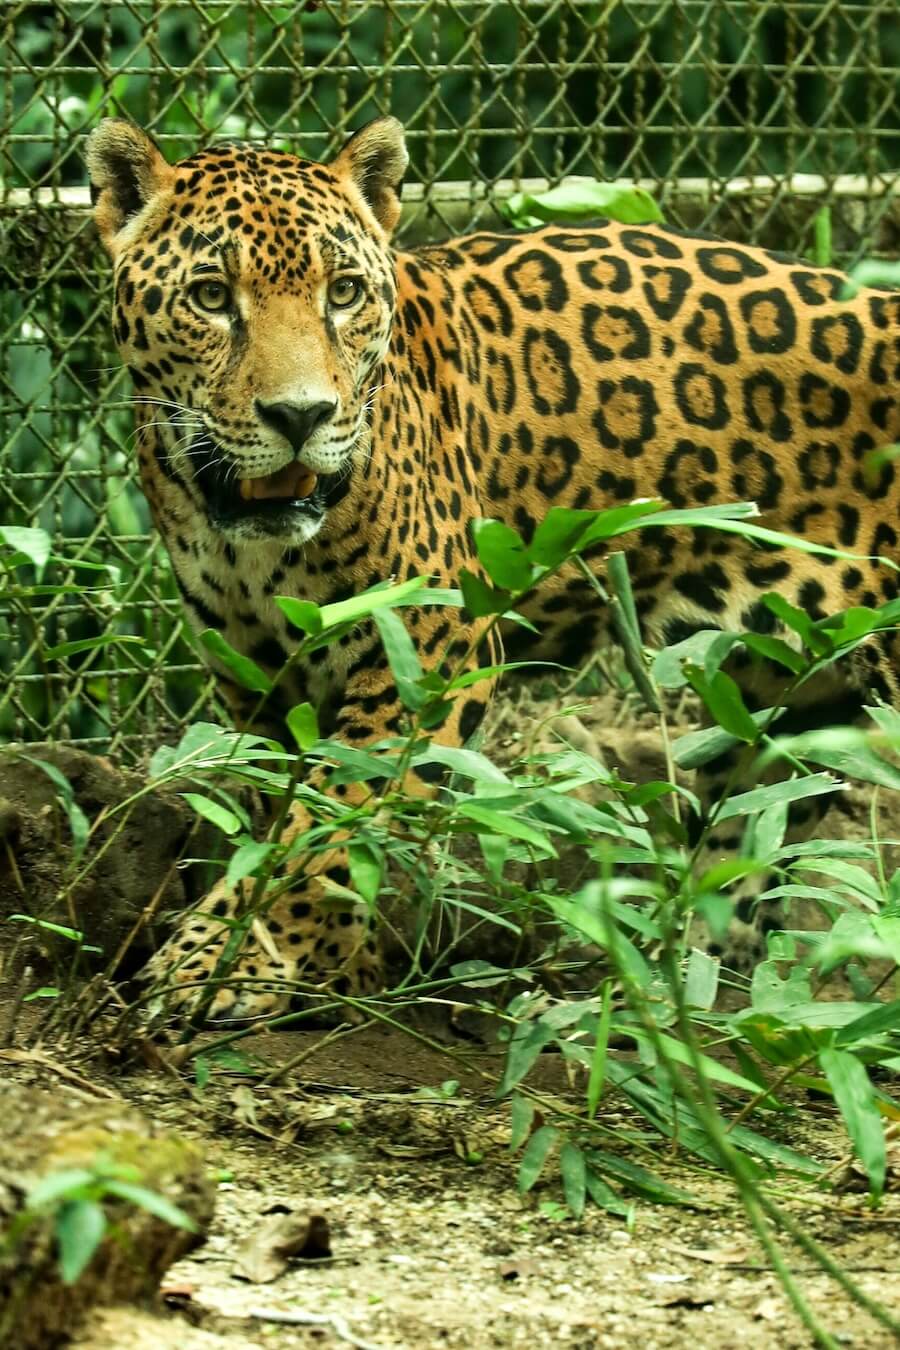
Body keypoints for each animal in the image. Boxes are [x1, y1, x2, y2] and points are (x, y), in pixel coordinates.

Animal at [86, 115, 900, 1023]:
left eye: (344, 293)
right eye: (210, 297)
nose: (302, 416)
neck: (246, 541)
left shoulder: (430, 650)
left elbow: (331, 820)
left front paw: (224, 961)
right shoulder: (256, 672)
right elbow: (285, 809)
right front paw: (332, 971)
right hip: (786, 694)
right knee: (749, 842)